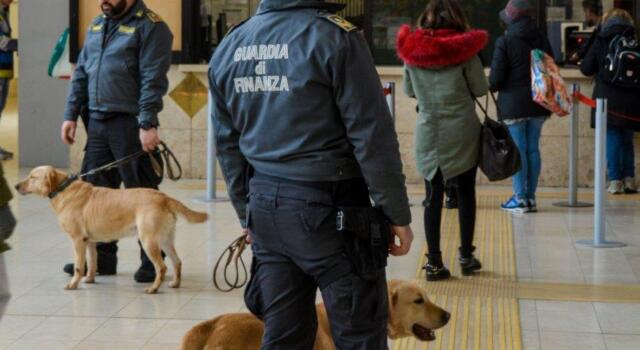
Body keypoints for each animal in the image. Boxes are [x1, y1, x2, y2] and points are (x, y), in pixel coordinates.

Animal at [15, 165, 208, 294]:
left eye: (32, 177)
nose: (16, 186)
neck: (63, 188)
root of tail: (163, 197)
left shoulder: (77, 240)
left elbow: (78, 266)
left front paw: (74, 284)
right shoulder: (89, 242)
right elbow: (92, 263)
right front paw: (90, 279)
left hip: (148, 240)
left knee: (162, 267)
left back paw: (153, 288)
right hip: (166, 239)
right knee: (177, 262)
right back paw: (175, 284)